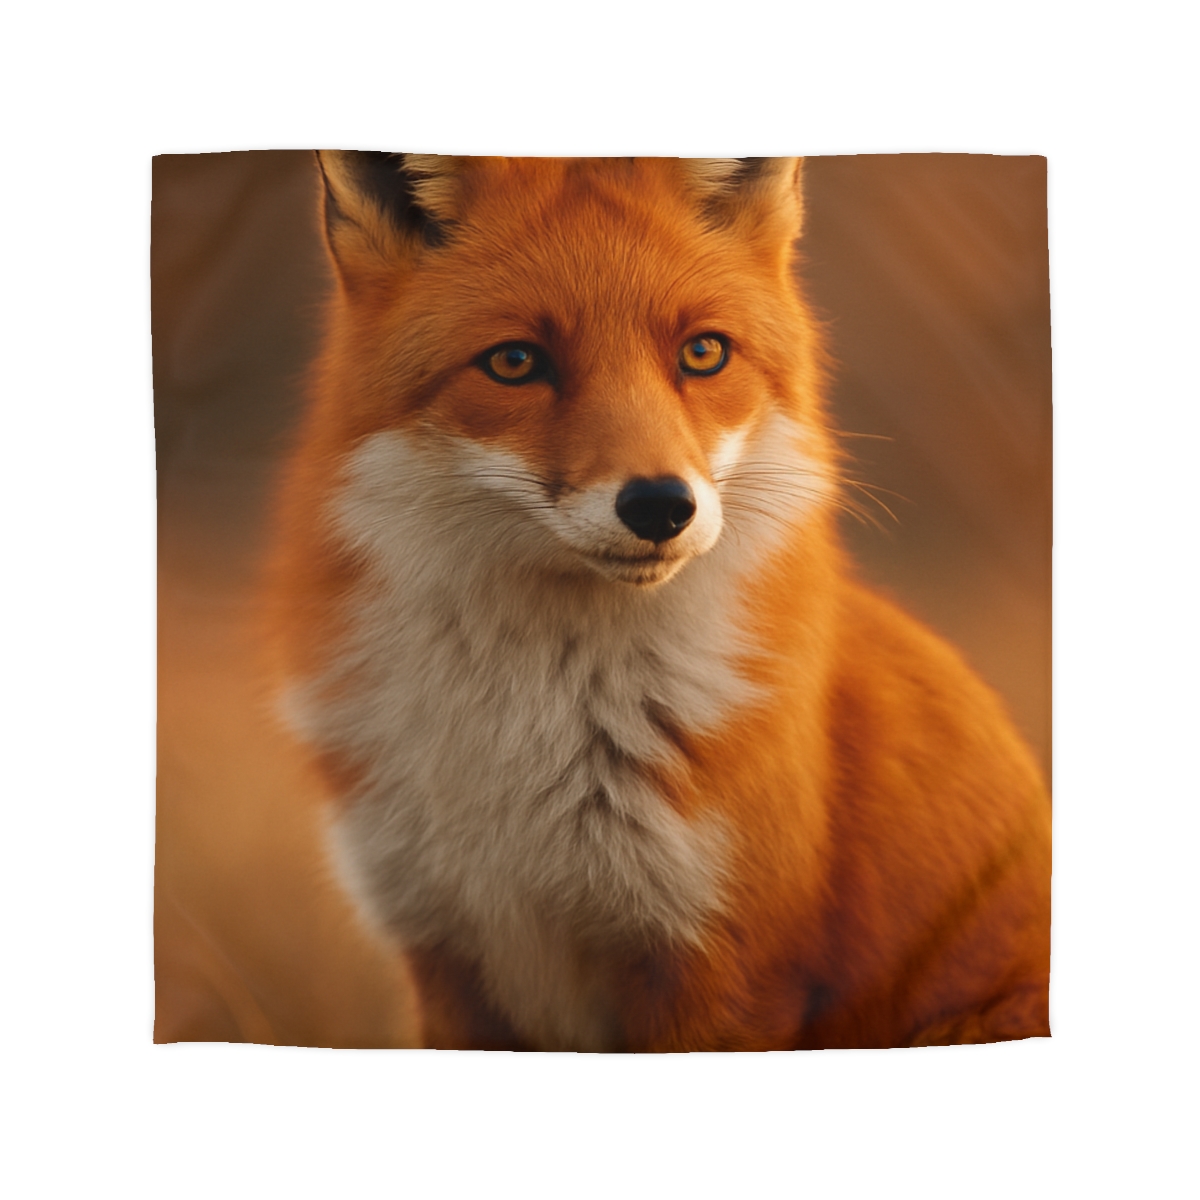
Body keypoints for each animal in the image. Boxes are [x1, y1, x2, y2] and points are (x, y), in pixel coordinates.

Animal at [269, 153, 1051, 1052]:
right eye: (515, 362)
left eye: (703, 352)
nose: (659, 506)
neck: (532, 733)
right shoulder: (444, 956)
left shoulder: (726, 967)